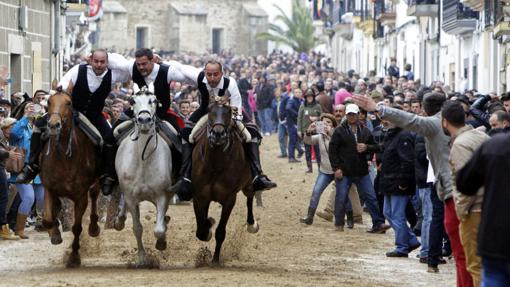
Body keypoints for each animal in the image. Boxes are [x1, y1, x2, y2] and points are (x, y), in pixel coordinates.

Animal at [40, 91, 101, 268]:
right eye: (49, 101)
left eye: (68, 102)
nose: (53, 125)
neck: (64, 157)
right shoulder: (48, 188)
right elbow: (47, 218)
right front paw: (55, 234)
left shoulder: (80, 197)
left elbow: (77, 228)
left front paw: (74, 257)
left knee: (94, 195)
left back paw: (93, 227)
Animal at [113, 84, 173, 268]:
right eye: (133, 101)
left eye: (153, 100)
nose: (144, 120)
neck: (144, 160)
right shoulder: (131, 197)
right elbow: (137, 228)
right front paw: (141, 259)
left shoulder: (162, 195)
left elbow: (159, 229)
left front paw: (161, 242)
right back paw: (119, 219)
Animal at [193, 101, 260, 266]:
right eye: (210, 110)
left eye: (229, 112)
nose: (218, 134)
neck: (216, 163)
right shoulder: (200, 196)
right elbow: (201, 230)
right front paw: (208, 225)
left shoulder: (229, 199)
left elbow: (220, 232)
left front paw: (215, 260)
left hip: (248, 184)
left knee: (250, 198)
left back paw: (252, 225)